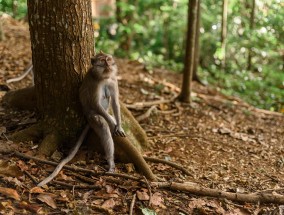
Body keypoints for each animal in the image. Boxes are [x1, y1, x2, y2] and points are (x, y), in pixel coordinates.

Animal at [37, 51, 126, 186]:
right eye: (102, 60)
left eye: (108, 59)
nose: (108, 64)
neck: (104, 77)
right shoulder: (95, 83)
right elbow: (95, 103)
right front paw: (112, 123)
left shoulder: (113, 79)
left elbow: (115, 102)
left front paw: (118, 125)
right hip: (92, 117)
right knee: (103, 126)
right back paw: (110, 161)